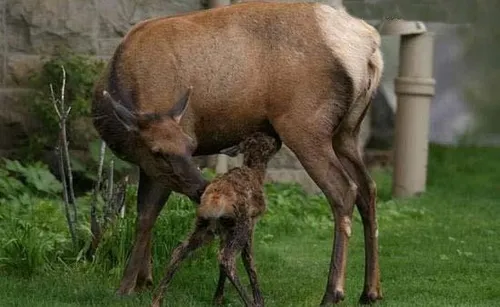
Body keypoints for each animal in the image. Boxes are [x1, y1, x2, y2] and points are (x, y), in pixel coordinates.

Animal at [151, 134, 282, 307]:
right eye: (269, 139)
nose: (279, 140)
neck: (256, 172)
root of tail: (214, 199)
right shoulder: (251, 222)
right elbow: (249, 261)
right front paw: (259, 300)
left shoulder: (225, 231)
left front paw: (217, 299)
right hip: (240, 224)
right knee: (227, 259)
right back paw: (250, 302)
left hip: (203, 225)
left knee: (180, 250)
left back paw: (157, 299)